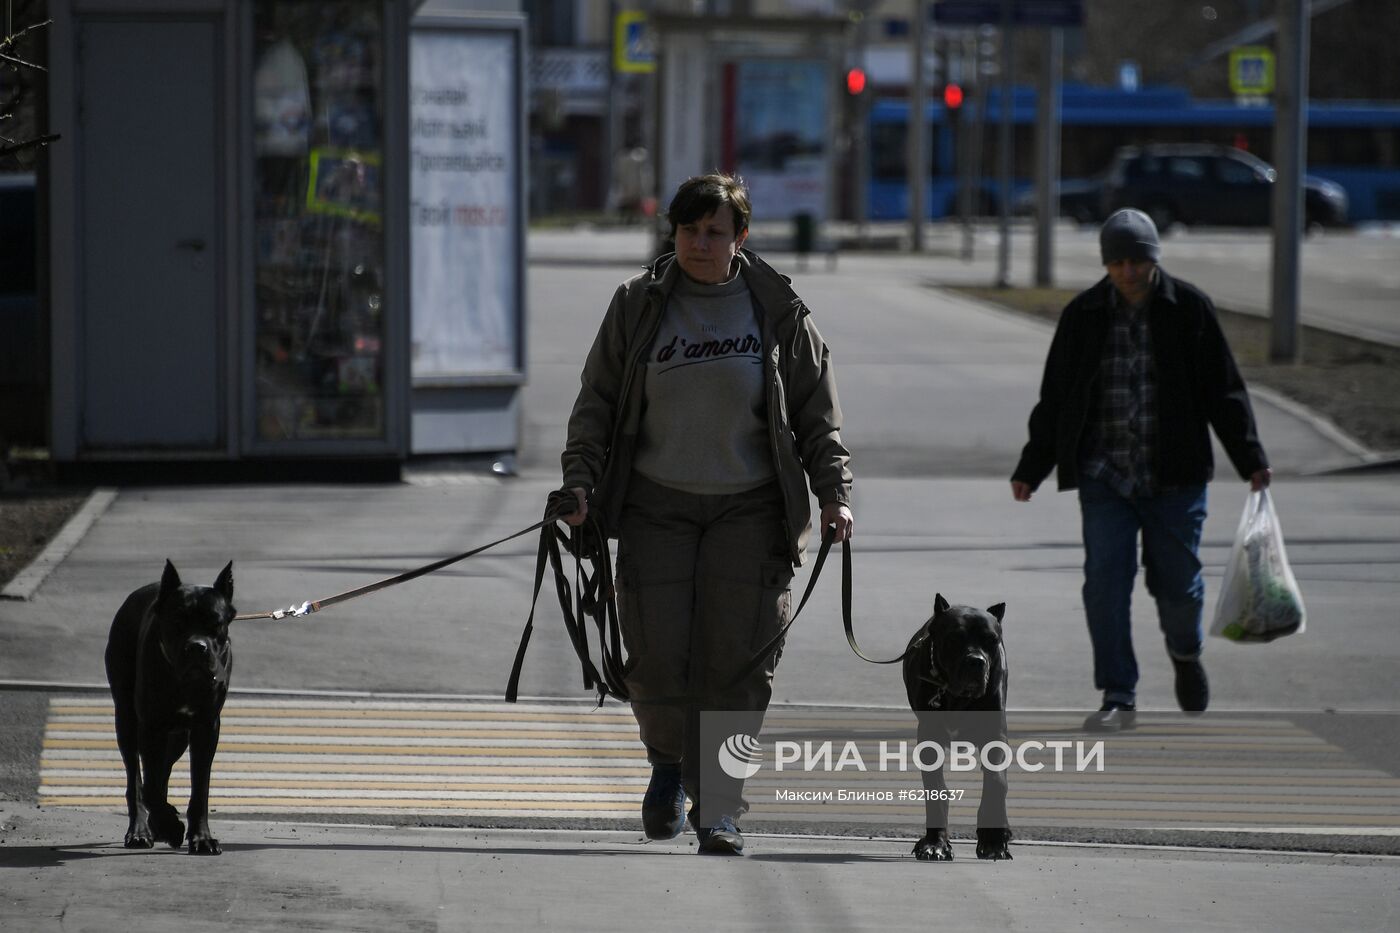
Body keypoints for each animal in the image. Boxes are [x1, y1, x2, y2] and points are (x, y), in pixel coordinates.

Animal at [103, 554, 235, 851]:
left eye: (216, 623)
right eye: (177, 622)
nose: (197, 647)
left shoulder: (206, 727)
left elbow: (200, 787)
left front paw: (201, 838)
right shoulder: (151, 726)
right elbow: (149, 787)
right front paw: (171, 826)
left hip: (178, 737)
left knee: (161, 773)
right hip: (127, 720)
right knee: (137, 781)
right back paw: (141, 830)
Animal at [901, 591, 1013, 862]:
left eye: (992, 640)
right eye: (954, 638)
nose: (976, 662)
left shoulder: (995, 735)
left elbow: (997, 783)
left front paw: (994, 841)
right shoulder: (929, 737)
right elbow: (936, 789)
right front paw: (935, 844)